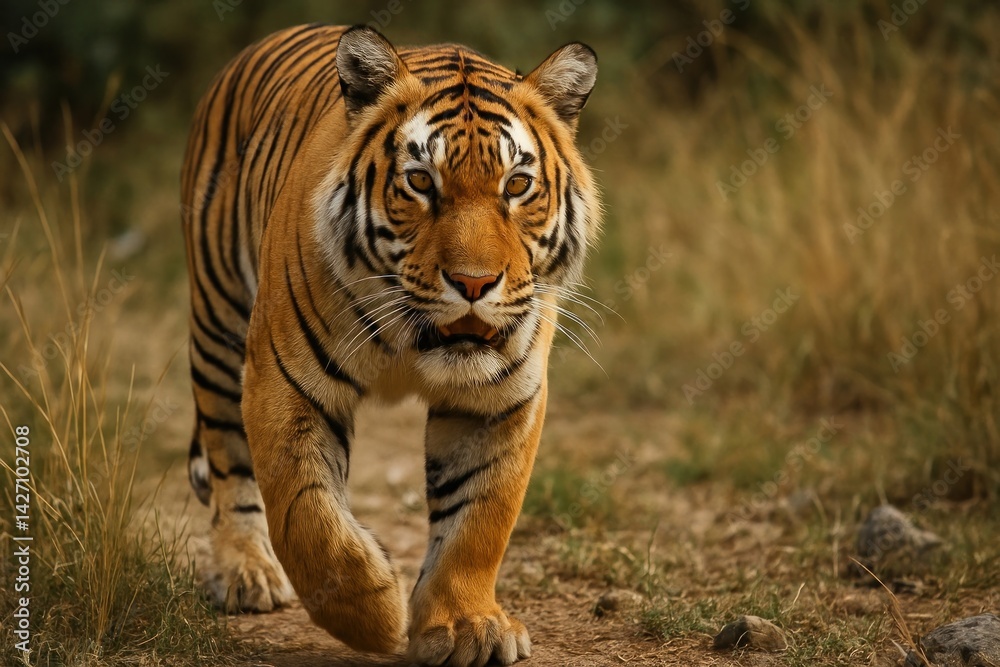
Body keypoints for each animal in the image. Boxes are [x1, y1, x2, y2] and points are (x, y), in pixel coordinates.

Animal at [180, 23, 599, 666]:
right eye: (421, 181)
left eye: (517, 185)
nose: (474, 283)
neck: (414, 342)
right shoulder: (284, 379)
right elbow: (306, 514)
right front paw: (372, 614)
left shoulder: (501, 400)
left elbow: (479, 519)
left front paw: (467, 626)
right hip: (218, 323)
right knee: (229, 459)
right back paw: (245, 573)